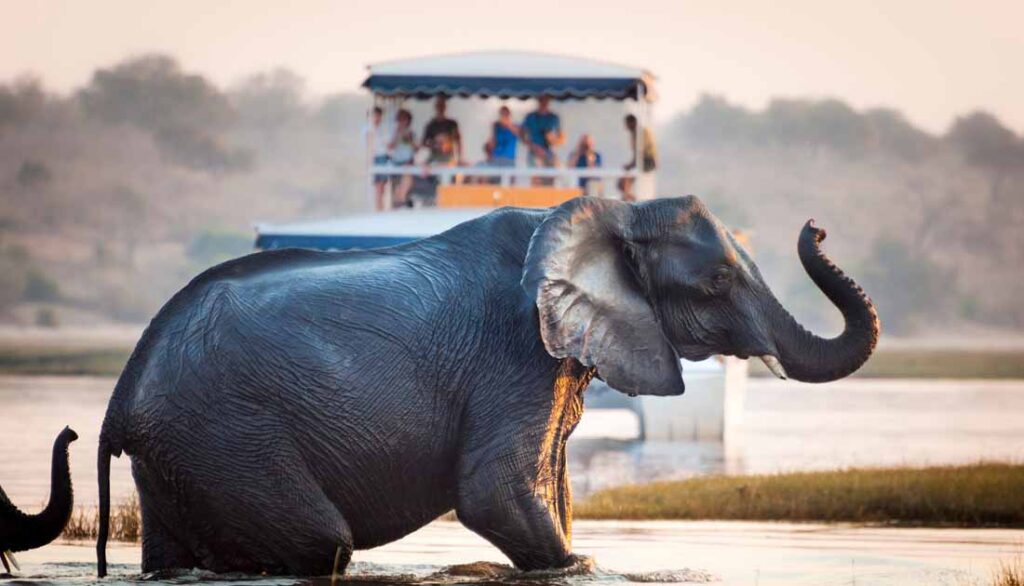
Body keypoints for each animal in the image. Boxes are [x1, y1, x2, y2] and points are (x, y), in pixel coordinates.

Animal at [97, 196, 880, 577]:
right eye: (716, 281)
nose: (817, 226)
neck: (604, 215)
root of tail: (121, 399)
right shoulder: (513, 353)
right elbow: (493, 491)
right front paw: (580, 566)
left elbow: (551, 489)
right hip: (227, 432)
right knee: (322, 543)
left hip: (183, 453)